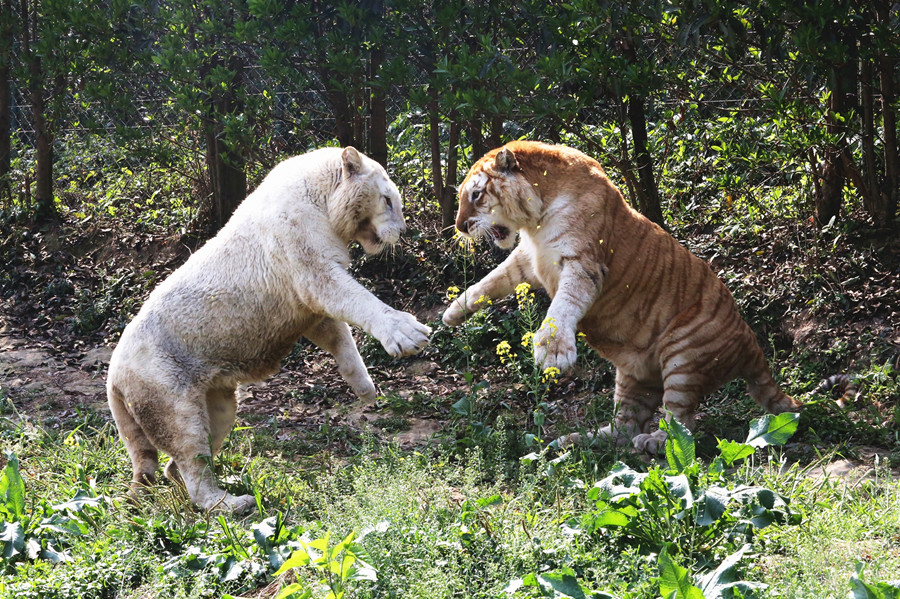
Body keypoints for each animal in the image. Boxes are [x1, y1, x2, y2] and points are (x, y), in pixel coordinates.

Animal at [442, 139, 800, 450]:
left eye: (476, 195)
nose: (459, 227)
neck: (535, 220)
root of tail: (749, 339)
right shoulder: (528, 259)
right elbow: (492, 280)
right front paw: (453, 312)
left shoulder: (583, 265)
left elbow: (562, 307)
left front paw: (553, 352)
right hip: (633, 376)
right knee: (625, 427)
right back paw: (574, 441)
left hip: (683, 356)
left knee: (682, 425)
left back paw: (654, 442)